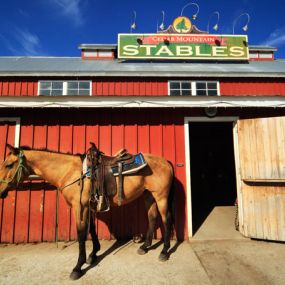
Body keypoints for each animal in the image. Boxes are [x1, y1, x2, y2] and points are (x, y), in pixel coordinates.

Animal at [0, 143, 173, 278]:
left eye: (8, 165)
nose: (0, 191)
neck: (70, 172)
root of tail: (166, 162)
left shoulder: (80, 207)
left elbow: (81, 234)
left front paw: (78, 266)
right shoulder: (88, 206)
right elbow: (91, 229)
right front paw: (93, 254)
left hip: (161, 197)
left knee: (167, 220)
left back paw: (164, 252)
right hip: (149, 195)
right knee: (152, 217)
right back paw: (145, 247)